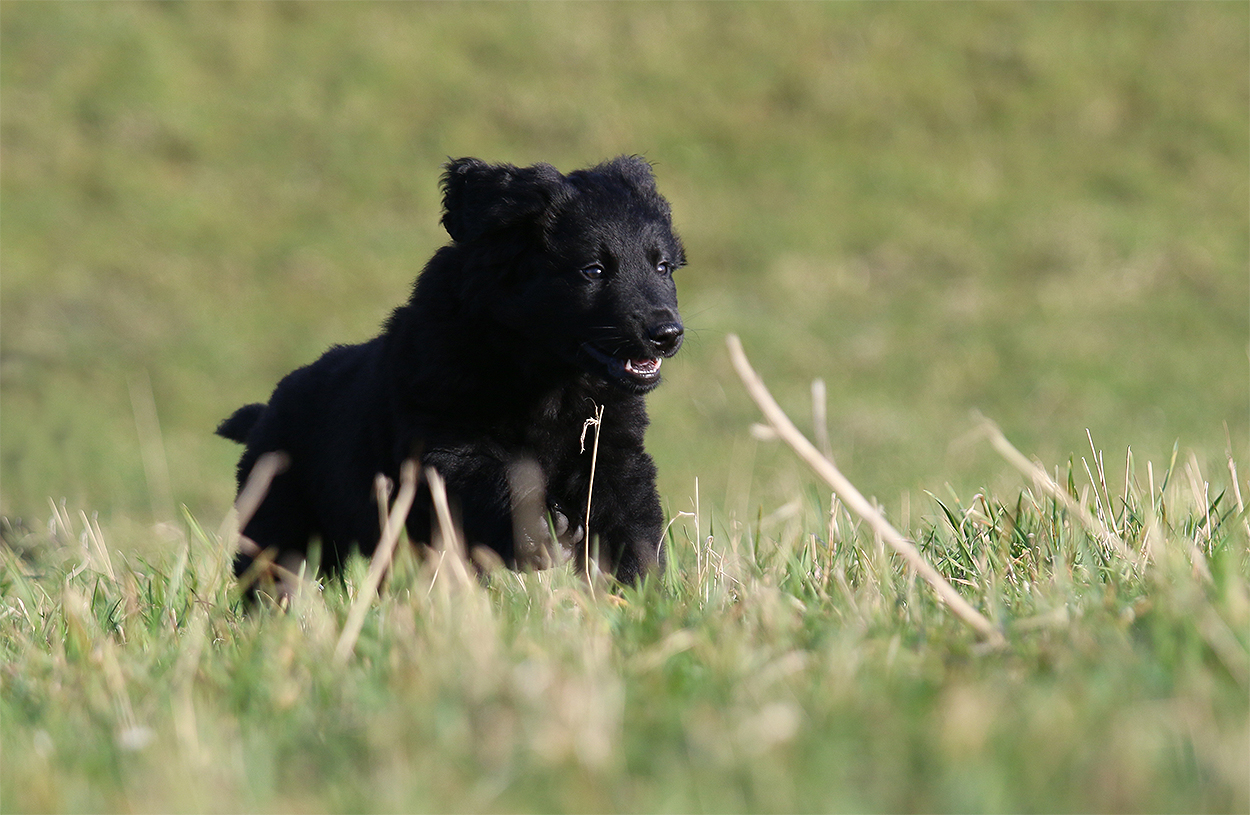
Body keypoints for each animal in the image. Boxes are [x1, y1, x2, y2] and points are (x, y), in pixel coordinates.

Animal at [218, 156, 684, 593]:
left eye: (663, 267)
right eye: (593, 270)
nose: (667, 334)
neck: (546, 378)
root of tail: (264, 413)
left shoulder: (613, 453)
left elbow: (631, 525)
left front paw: (639, 594)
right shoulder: (445, 444)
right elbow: (497, 481)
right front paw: (543, 533)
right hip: (278, 516)